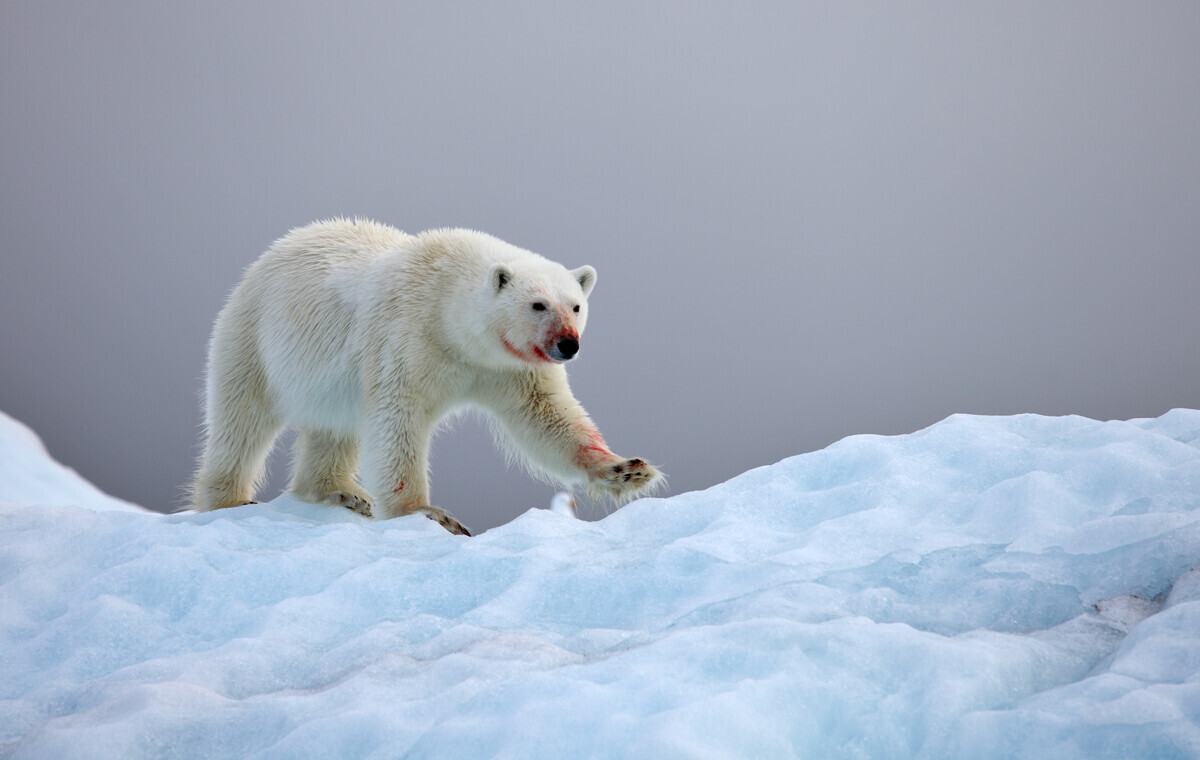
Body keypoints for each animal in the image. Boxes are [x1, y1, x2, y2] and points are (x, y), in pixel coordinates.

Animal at [196, 216, 667, 530]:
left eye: (576, 305)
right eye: (538, 304)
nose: (568, 344)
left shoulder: (508, 368)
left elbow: (546, 417)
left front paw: (627, 470)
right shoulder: (408, 337)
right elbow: (397, 417)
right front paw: (428, 514)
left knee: (335, 428)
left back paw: (343, 493)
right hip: (252, 340)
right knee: (241, 423)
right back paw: (230, 501)